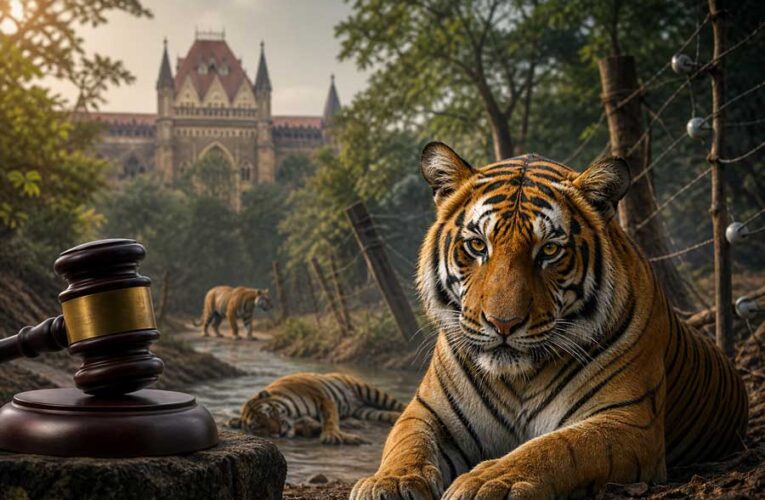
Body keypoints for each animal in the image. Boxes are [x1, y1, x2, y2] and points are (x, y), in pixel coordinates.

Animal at [228, 372, 405, 445]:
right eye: (258, 426)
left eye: (271, 413)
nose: (278, 431)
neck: (294, 416)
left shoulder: (323, 398)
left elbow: (330, 418)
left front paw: (331, 435)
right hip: (366, 411)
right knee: (385, 413)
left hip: (370, 392)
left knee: (398, 404)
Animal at [351, 142, 748, 499]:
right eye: (477, 246)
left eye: (550, 251)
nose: (503, 324)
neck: (516, 380)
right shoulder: (428, 412)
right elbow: (408, 443)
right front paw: (391, 482)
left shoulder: (628, 421)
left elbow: (557, 448)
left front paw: (491, 481)